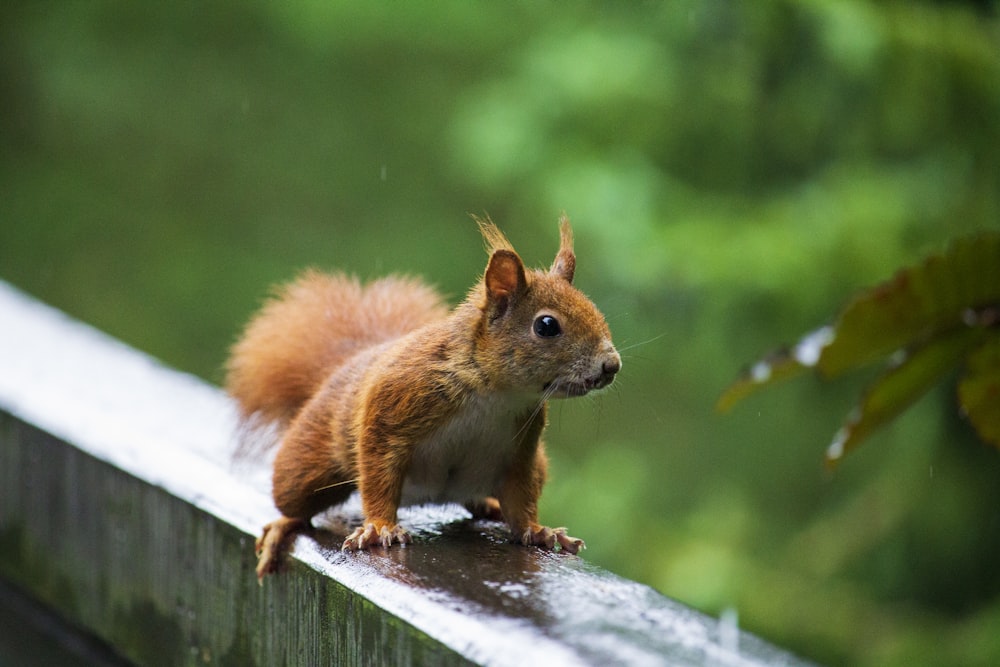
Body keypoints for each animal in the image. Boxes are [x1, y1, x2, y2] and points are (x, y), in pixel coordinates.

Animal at [227, 218, 616, 580]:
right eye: (546, 325)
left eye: (596, 310)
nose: (611, 365)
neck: (497, 394)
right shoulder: (393, 408)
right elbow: (378, 472)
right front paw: (380, 527)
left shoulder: (522, 448)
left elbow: (521, 496)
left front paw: (538, 531)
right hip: (307, 461)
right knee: (294, 500)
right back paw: (282, 527)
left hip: (534, 466)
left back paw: (489, 504)